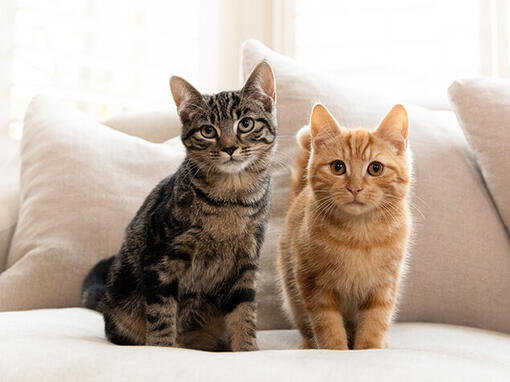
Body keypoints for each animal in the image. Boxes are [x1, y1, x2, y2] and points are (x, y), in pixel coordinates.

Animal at [276, 103, 412, 350]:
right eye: (338, 167)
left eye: (375, 168)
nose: (355, 188)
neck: (359, 233)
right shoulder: (314, 284)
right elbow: (327, 325)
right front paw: (335, 351)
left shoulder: (384, 286)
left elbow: (374, 323)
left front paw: (369, 349)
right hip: (292, 294)